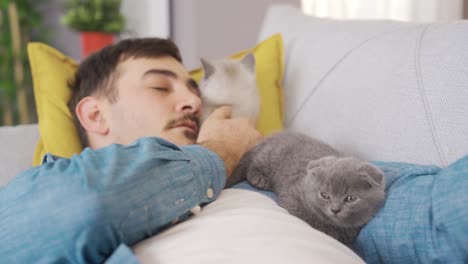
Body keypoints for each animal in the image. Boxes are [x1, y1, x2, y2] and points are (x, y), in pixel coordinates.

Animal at [229, 131, 386, 246]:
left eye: (350, 198)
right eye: (324, 195)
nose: (335, 209)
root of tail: (269, 137)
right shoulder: (292, 198)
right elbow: (308, 217)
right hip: (271, 156)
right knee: (253, 165)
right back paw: (260, 179)